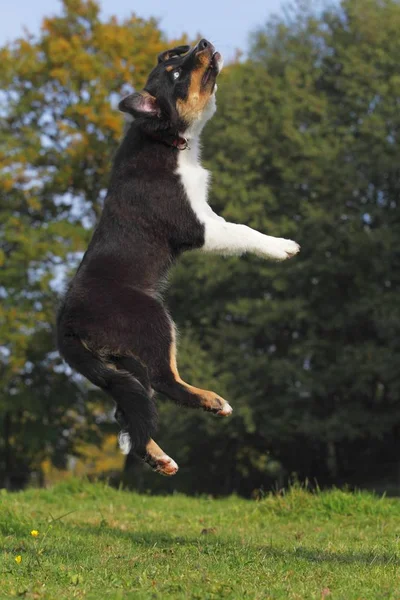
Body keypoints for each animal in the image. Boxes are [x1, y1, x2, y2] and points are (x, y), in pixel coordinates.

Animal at [56, 39, 300, 476]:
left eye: (175, 59)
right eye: (176, 74)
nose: (202, 43)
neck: (167, 141)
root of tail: (66, 325)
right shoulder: (195, 224)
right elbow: (243, 231)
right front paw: (282, 246)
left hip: (119, 360)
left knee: (131, 406)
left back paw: (157, 458)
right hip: (152, 321)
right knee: (163, 383)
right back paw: (213, 402)